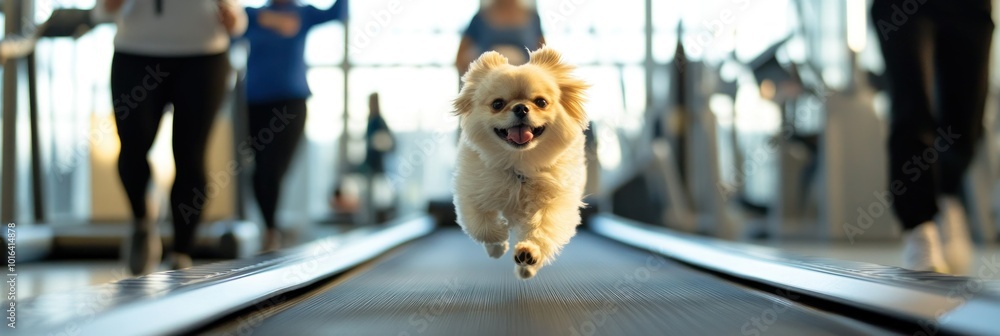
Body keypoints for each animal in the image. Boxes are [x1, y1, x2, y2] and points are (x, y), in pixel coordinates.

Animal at [452, 46, 584, 278]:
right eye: (497, 104)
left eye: (541, 102)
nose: (521, 107)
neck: (518, 164)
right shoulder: (471, 193)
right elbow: (481, 226)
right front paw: (499, 237)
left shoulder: (555, 202)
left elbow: (542, 228)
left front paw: (529, 252)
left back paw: (526, 268)